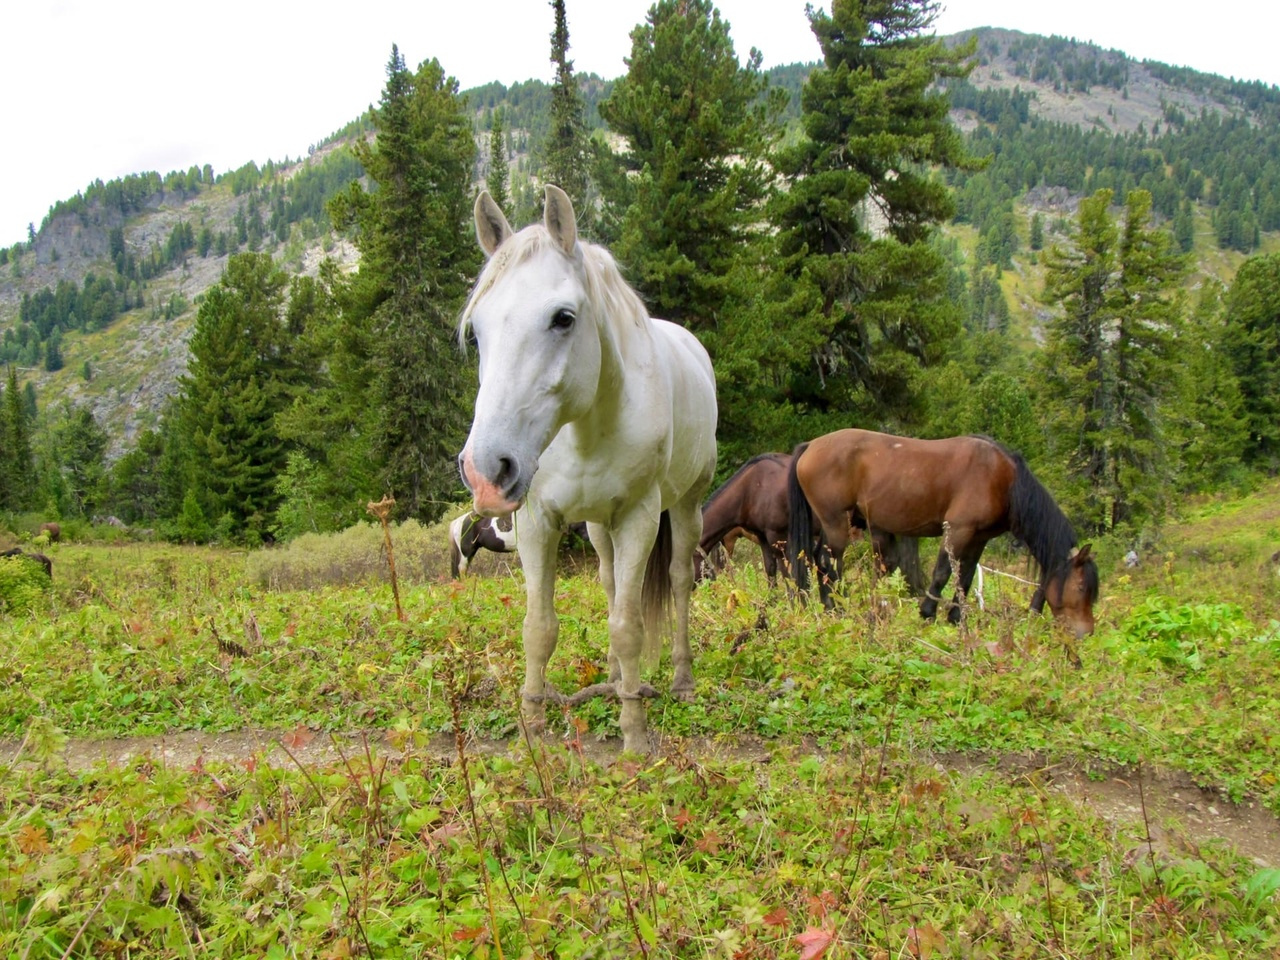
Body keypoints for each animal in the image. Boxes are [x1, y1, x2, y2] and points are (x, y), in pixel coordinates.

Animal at [458, 184, 721, 757]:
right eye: (477, 331)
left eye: (563, 318)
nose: (487, 471)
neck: (587, 424)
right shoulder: (537, 521)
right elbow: (539, 627)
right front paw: (533, 725)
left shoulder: (639, 518)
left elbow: (629, 624)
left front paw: (634, 734)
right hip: (599, 525)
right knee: (607, 582)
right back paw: (613, 676)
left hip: (686, 506)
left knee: (679, 580)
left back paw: (680, 681)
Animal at [788, 430, 1100, 640]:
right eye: (1081, 587)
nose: (1087, 632)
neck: (1003, 479)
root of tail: (810, 446)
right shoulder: (958, 530)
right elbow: (942, 573)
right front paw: (927, 612)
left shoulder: (979, 537)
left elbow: (966, 576)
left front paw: (956, 618)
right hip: (836, 523)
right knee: (826, 562)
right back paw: (835, 608)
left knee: (819, 560)